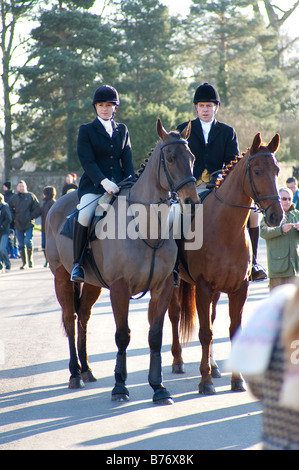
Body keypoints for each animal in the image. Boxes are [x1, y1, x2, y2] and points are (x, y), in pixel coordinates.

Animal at [46, 120, 199, 404]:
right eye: (171, 158)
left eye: (192, 157)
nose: (191, 202)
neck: (146, 227)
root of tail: (56, 205)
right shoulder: (119, 288)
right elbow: (122, 335)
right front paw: (119, 386)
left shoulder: (162, 287)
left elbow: (154, 336)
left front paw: (159, 387)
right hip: (61, 277)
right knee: (70, 318)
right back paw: (75, 373)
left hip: (92, 283)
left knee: (84, 316)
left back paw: (87, 369)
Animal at [169, 134, 284, 394]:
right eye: (258, 171)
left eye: (277, 170)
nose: (277, 216)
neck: (225, 229)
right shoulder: (202, 287)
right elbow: (204, 333)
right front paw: (205, 381)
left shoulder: (239, 288)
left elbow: (232, 330)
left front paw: (236, 379)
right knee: (174, 315)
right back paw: (178, 360)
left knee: (210, 317)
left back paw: (213, 366)